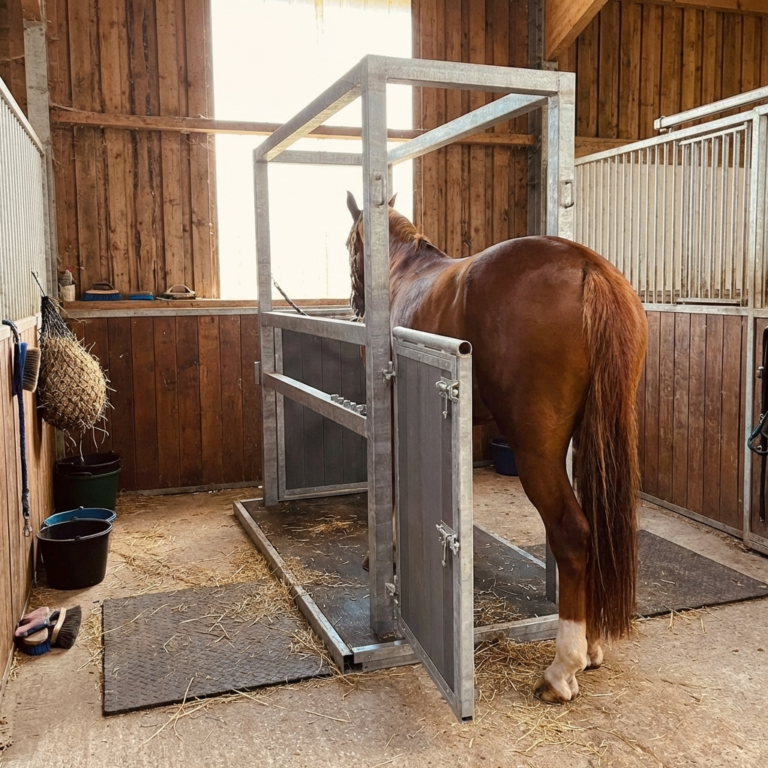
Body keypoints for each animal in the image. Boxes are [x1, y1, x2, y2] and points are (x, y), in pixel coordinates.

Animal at [345, 192, 648, 704]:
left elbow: (393, 485)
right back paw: (591, 647)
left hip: (537, 452)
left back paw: (562, 670)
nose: (355, 304)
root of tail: (588, 268)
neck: (401, 271)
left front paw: (382, 556)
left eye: (350, 244)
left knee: (572, 533)